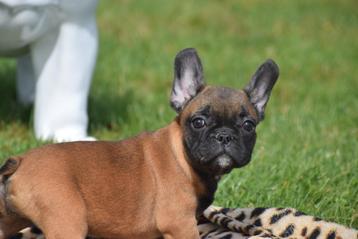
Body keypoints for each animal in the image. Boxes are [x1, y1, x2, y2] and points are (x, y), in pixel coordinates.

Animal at [0, 48, 280, 239]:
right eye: (199, 122)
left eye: (248, 126)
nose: (224, 135)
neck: (183, 156)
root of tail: (20, 161)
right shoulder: (181, 224)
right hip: (67, 220)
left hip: (9, 218)